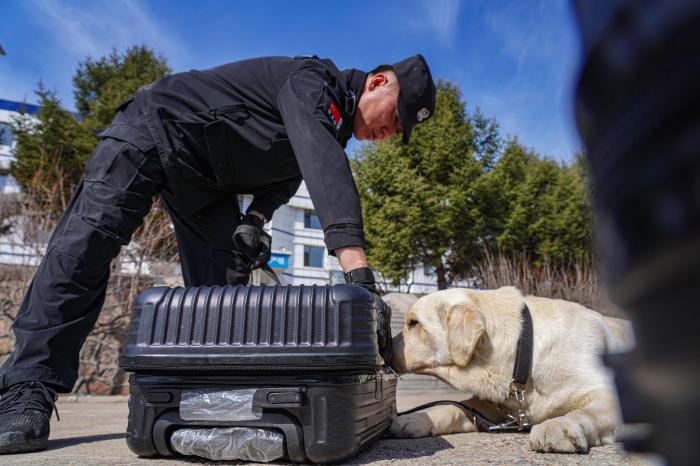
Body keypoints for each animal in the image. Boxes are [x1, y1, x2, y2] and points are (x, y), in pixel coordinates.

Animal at [388, 286, 636, 454]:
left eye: (413, 323)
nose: (385, 344)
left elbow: (588, 411)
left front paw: (559, 426)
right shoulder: (488, 409)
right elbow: (452, 408)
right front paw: (416, 419)